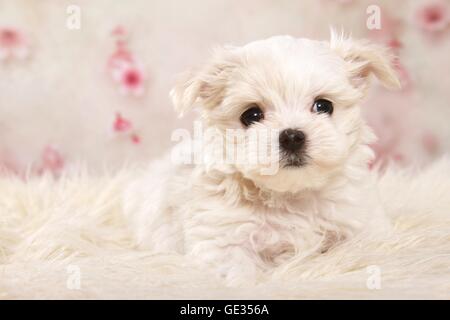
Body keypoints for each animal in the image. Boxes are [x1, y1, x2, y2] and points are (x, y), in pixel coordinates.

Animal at [122, 32, 398, 284]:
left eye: (323, 106)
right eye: (251, 115)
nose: (292, 136)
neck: (292, 196)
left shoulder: (361, 224)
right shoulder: (222, 240)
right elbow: (239, 275)